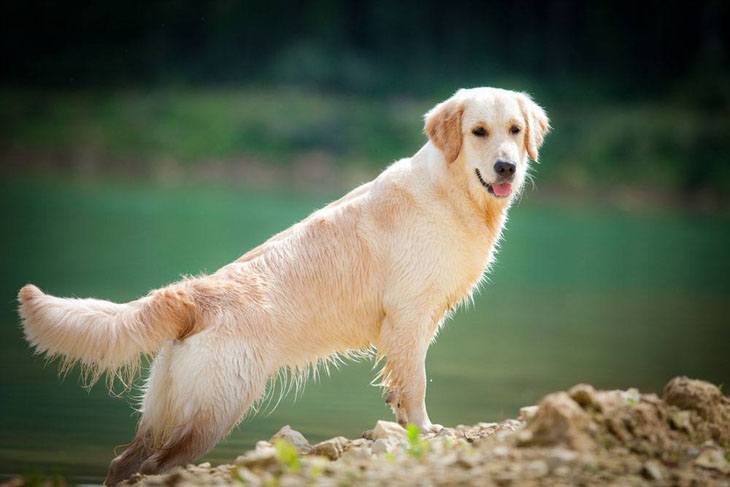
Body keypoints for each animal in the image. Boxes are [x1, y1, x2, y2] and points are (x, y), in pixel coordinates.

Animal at [15, 88, 544, 484]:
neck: (452, 191)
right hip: (214, 409)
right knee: (152, 466)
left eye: (515, 131)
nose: (506, 167)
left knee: (124, 461)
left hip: (168, 408)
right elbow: (416, 384)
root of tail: (193, 294)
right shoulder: (409, 316)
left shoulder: (413, 323)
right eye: (478, 132)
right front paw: (424, 430)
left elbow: (400, 386)